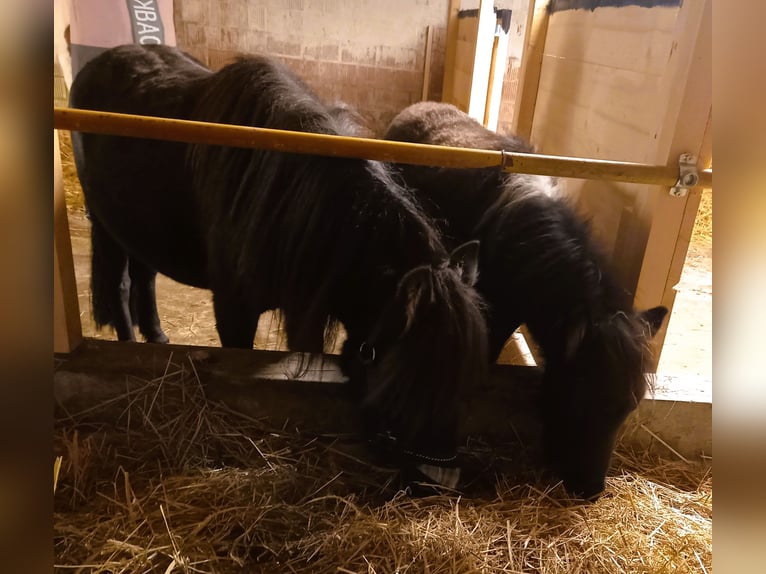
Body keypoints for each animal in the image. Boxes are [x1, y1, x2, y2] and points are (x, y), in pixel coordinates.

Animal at [69, 46, 489, 491]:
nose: (439, 478)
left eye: (466, 377)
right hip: (105, 224)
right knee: (119, 284)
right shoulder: (234, 311)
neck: (284, 199)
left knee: (143, 278)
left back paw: (158, 338)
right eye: (408, 380)